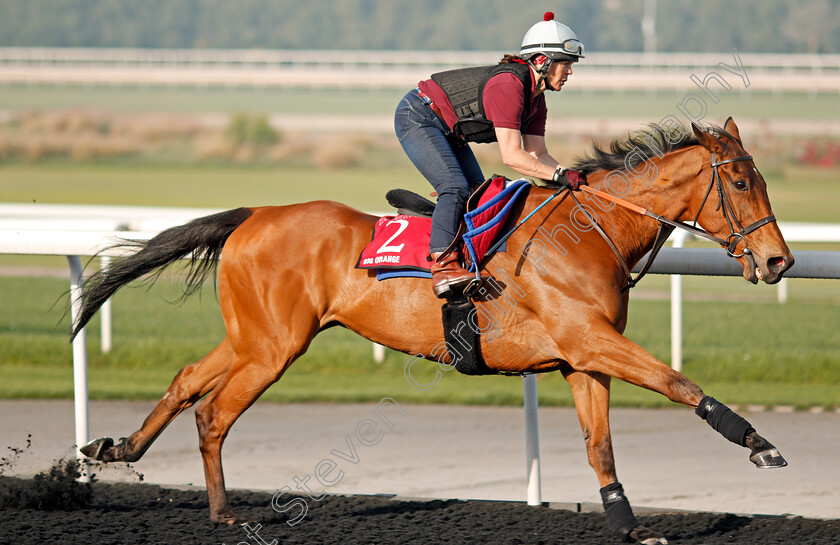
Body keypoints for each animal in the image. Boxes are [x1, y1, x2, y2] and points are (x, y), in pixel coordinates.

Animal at [75, 117, 792, 540]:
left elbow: (601, 446)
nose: (778, 261)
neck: (592, 230)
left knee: (186, 382)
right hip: (274, 346)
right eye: (739, 180)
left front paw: (631, 524)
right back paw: (224, 511)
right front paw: (758, 441)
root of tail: (256, 213)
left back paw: (115, 448)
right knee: (214, 411)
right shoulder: (591, 341)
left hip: (254, 336)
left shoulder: (581, 358)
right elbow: (676, 381)